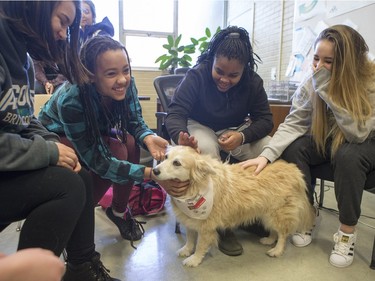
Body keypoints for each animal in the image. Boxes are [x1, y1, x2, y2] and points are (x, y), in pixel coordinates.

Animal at [152, 145, 314, 266]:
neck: (195, 186)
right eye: (165, 157)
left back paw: (277, 250)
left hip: (277, 213)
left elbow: (199, 246)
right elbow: (190, 239)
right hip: (267, 213)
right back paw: (269, 240)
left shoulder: (205, 227)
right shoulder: (190, 220)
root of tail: (294, 170)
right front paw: (186, 250)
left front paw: (194, 259)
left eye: (177, 163)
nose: (154, 170)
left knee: (283, 234)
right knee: (275, 230)